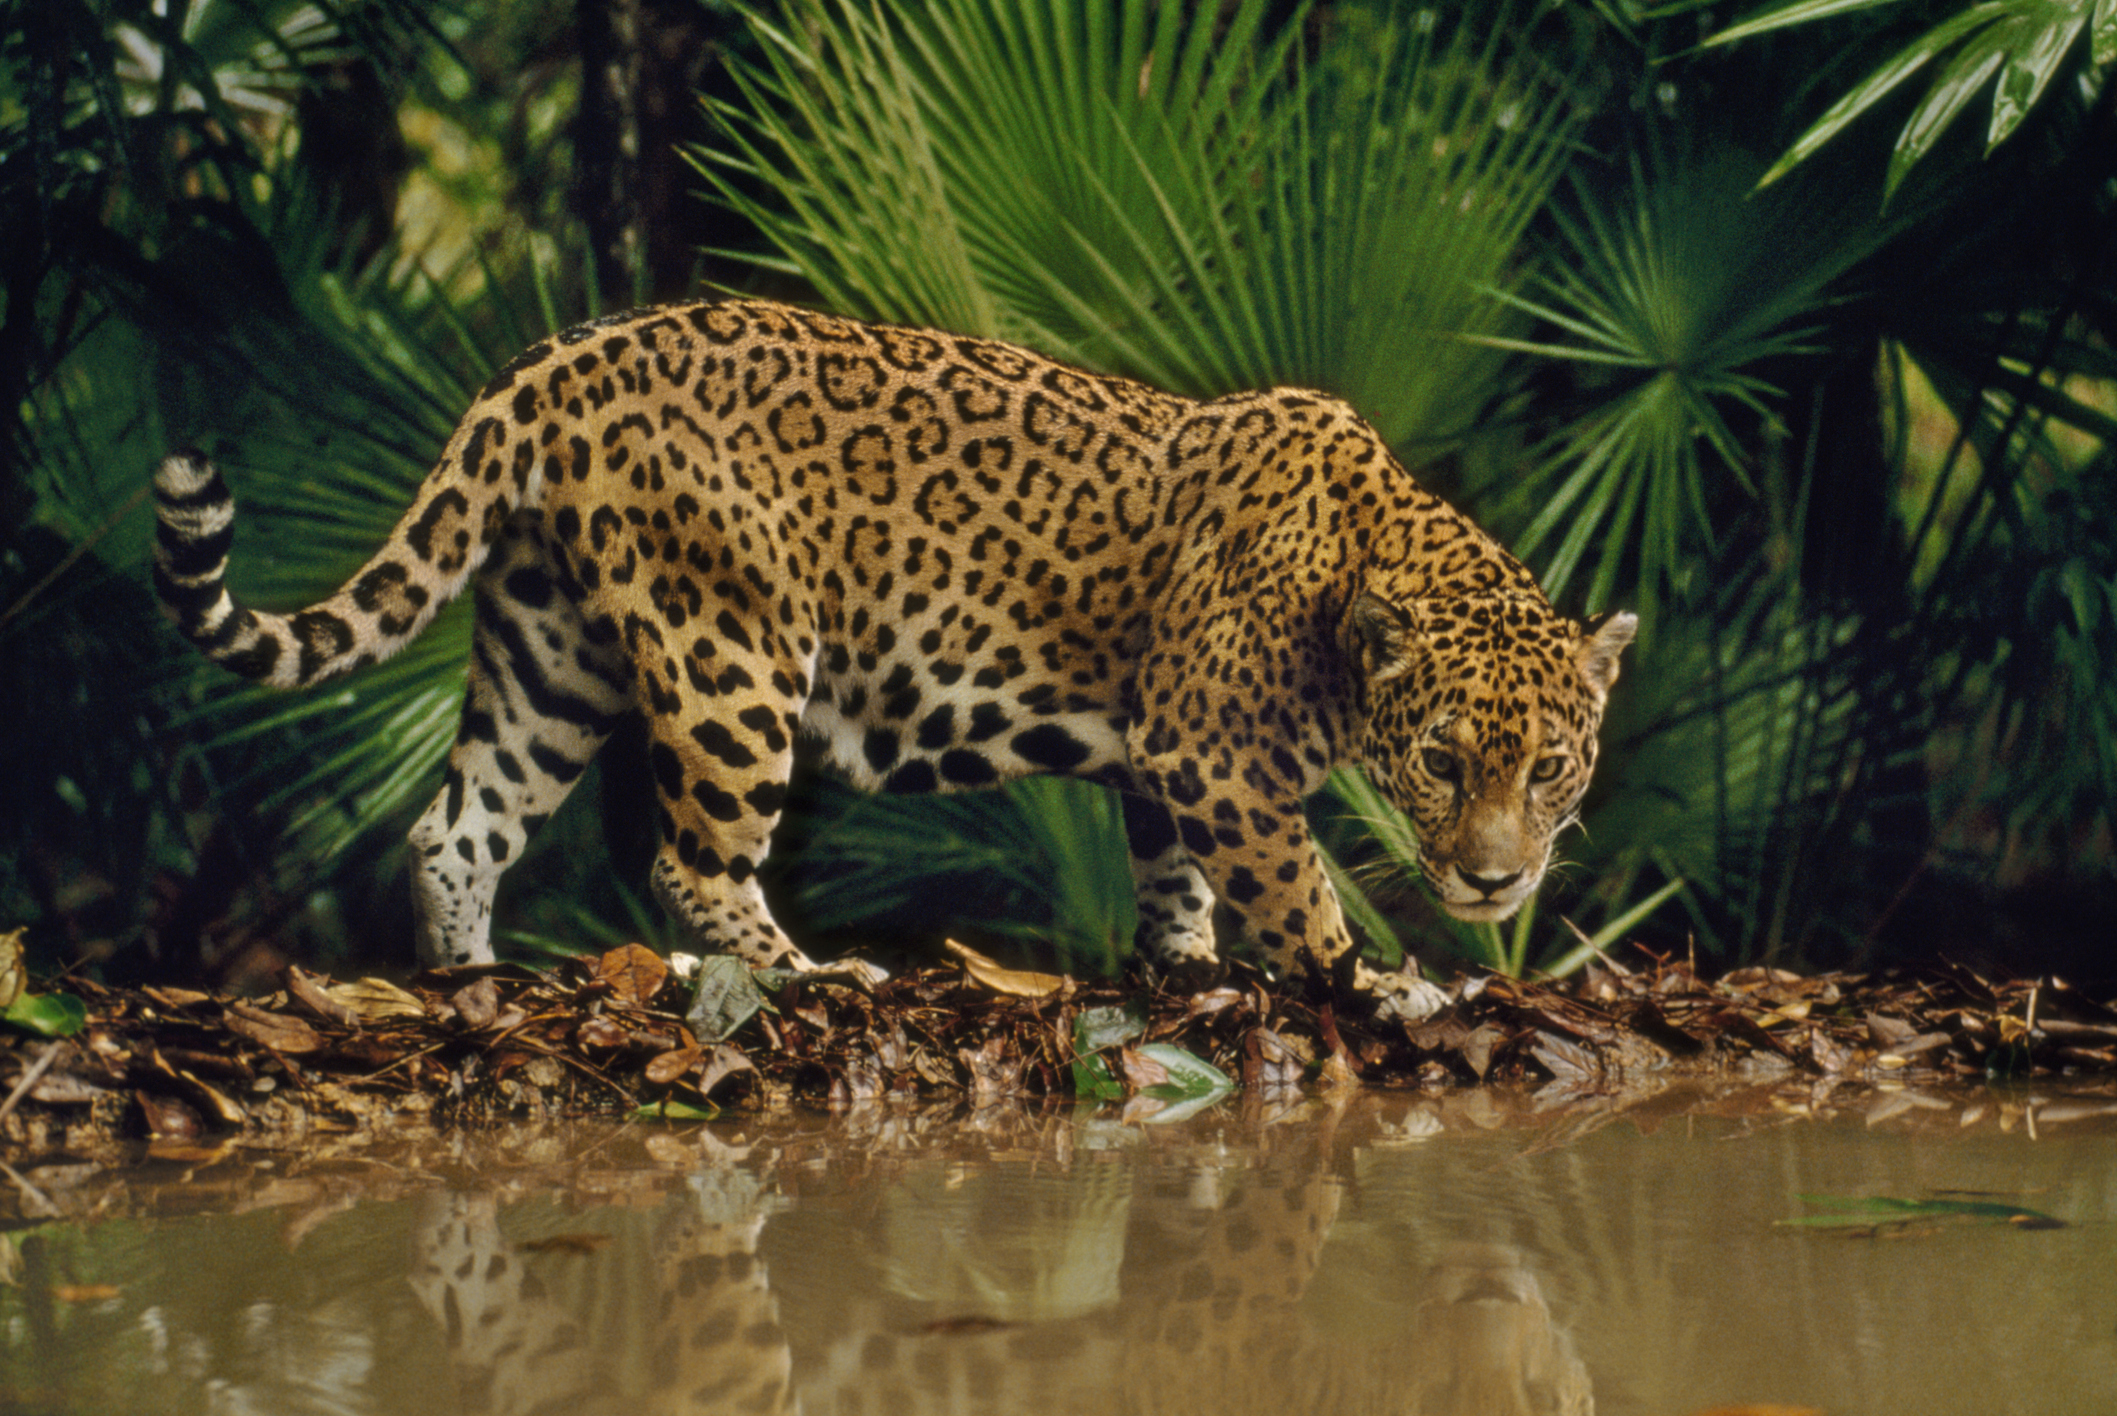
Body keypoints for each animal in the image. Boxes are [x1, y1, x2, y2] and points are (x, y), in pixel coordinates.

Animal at [152, 297, 1635, 1003]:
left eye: (1549, 768)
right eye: (1441, 763)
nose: (1495, 881)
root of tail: (556, 358)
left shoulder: (1164, 765)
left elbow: (1175, 887)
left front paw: (1185, 969)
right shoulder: (1216, 761)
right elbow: (1296, 893)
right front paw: (1369, 984)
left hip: (548, 647)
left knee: (457, 829)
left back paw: (468, 984)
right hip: (728, 648)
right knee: (689, 858)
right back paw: (814, 973)